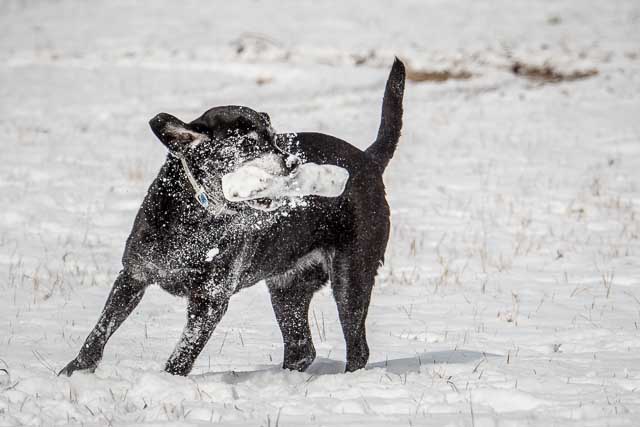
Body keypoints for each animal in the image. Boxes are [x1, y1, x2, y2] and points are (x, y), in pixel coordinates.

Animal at [57, 58, 402, 376]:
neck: (194, 217)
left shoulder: (210, 301)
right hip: (287, 287)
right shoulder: (134, 274)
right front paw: (76, 370)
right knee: (301, 348)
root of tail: (368, 160)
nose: (292, 162)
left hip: (351, 276)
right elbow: (100, 329)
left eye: (274, 138)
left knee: (357, 348)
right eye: (248, 143)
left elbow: (182, 354)